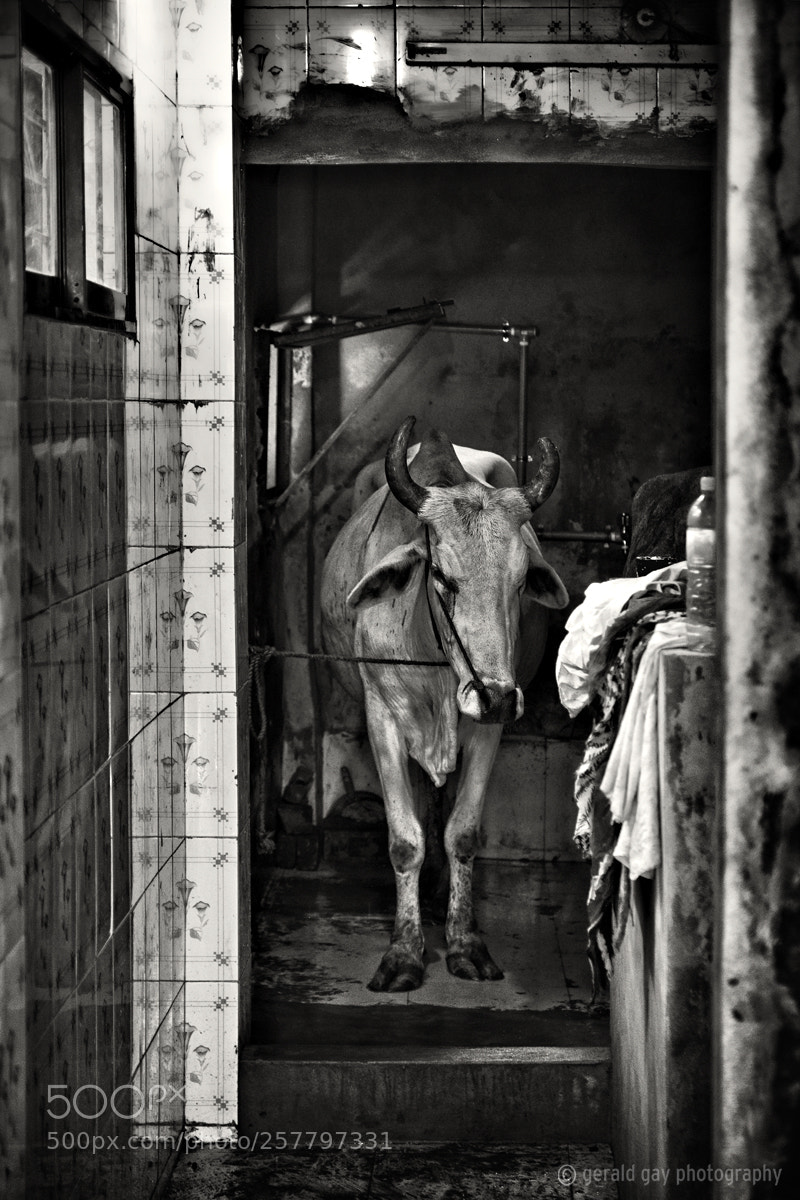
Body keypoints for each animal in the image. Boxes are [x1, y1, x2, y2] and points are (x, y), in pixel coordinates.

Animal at [320, 417, 569, 992]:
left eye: (520, 582)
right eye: (441, 577)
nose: (495, 694)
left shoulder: (488, 727)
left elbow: (463, 832)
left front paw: (464, 943)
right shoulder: (382, 717)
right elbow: (403, 839)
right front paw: (404, 952)